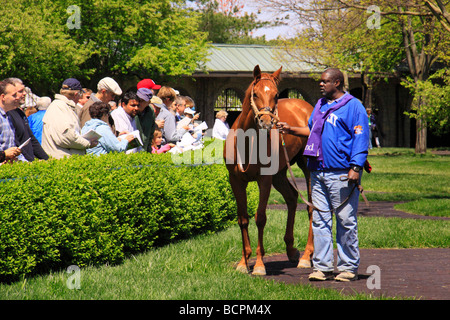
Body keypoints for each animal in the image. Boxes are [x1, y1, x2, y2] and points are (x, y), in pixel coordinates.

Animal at [223, 65, 314, 276]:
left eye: (275, 95)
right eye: (255, 94)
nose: (266, 122)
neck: (247, 143)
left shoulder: (264, 180)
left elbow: (260, 218)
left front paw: (258, 264)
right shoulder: (235, 180)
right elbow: (243, 219)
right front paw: (243, 261)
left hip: (307, 166)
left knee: (311, 206)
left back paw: (306, 256)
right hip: (279, 175)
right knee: (291, 198)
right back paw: (291, 249)